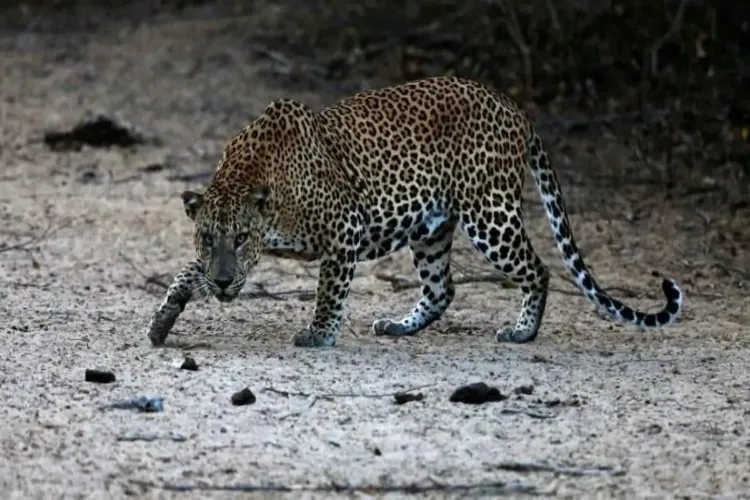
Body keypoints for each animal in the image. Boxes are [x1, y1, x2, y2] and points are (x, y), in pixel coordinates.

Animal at [146, 76, 683, 348]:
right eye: (209, 238)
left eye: (240, 239)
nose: (222, 282)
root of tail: (513, 107)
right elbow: (186, 272)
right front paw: (164, 317)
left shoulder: (344, 229)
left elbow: (328, 290)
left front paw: (319, 333)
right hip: (431, 228)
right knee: (442, 288)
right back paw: (400, 325)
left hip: (489, 212)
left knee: (539, 269)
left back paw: (523, 331)